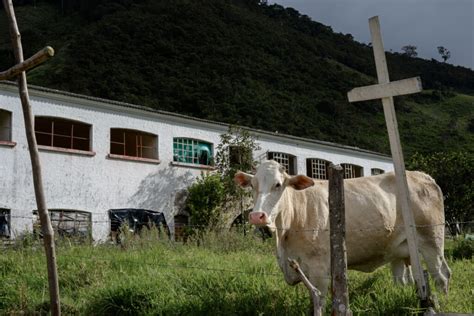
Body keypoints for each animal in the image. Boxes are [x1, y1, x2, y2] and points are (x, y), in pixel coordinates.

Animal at [235, 160, 450, 306]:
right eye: (252, 185)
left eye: (278, 185)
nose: (257, 216)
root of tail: (423, 176)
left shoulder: (319, 269)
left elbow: (318, 300)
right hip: (399, 250)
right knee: (405, 280)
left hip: (431, 240)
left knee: (441, 275)